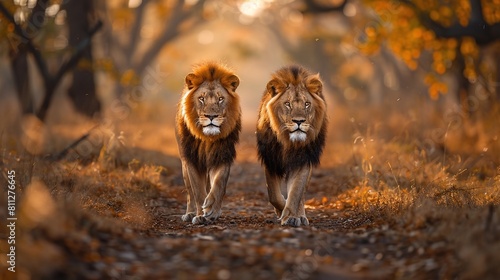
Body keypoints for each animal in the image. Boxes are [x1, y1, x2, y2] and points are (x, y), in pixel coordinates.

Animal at [176, 61, 240, 225]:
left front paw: (211, 210)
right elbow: (198, 191)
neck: (207, 138)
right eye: (201, 98)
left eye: (220, 99)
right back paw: (190, 213)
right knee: (190, 193)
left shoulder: (222, 155)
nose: (211, 116)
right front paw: (199, 216)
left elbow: (218, 184)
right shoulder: (191, 160)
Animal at [258, 64, 328, 226]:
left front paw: (291, 216)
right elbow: (273, 195)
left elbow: (296, 191)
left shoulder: (303, 160)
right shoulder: (271, 159)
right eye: (287, 104)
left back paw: (300, 215)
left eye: (307, 104)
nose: (299, 121)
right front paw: (282, 209)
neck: (289, 142)